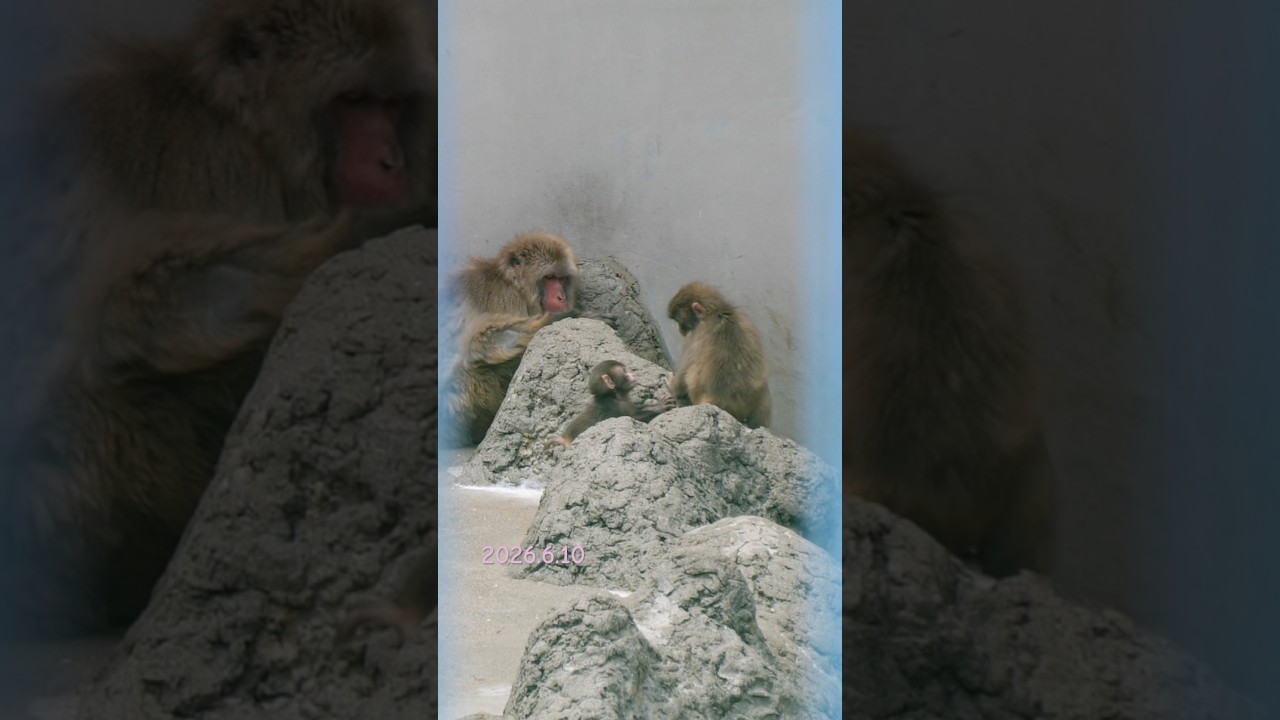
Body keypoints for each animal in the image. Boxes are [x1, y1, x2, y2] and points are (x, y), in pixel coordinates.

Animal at [0, 0, 435, 639]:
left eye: (393, 104)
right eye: (353, 100)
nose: (392, 161)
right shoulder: (212, 161)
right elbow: (142, 300)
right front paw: (388, 226)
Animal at [442, 232, 612, 447]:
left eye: (561, 278)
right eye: (549, 278)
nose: (561, 297)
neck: (514, 286)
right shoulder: (505, 298)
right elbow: (482, 341)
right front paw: (569, 317)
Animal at [665, 283, 772, 428]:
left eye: (679, 321)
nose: (680, 330)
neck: (716, 312)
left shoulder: (696, 335)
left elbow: (684, 370)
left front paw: (671, 384)